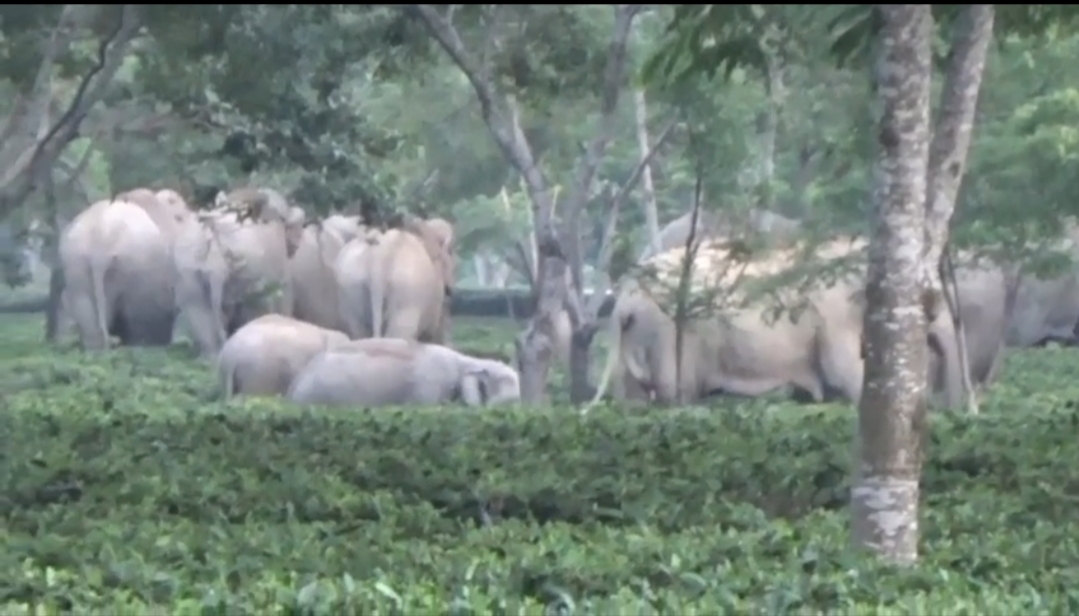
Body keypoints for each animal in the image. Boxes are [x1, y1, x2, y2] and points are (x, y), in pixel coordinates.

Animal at [593, 237, 965, 408]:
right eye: (930, 297)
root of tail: (626, 296)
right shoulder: (833, 315)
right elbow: (845, 374)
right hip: (670, 331)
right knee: (675, 393)